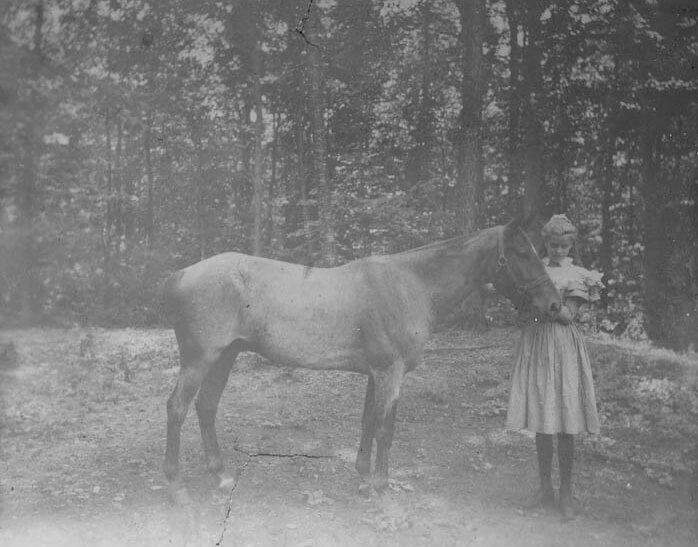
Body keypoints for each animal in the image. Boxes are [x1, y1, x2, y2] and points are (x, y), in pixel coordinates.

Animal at [159, 216, 560, 504]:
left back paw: (220, 476)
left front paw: (364, 478)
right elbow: (385, 428)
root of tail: (181, 274)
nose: (555, 305)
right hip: (200, 360)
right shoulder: (390, 373)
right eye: (523, 253)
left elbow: (368, 422)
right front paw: (381, 485)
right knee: (177, 408)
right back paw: (177, 488)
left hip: (224, 356)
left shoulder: (374, 373)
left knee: (206, 407)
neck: (411, 285)